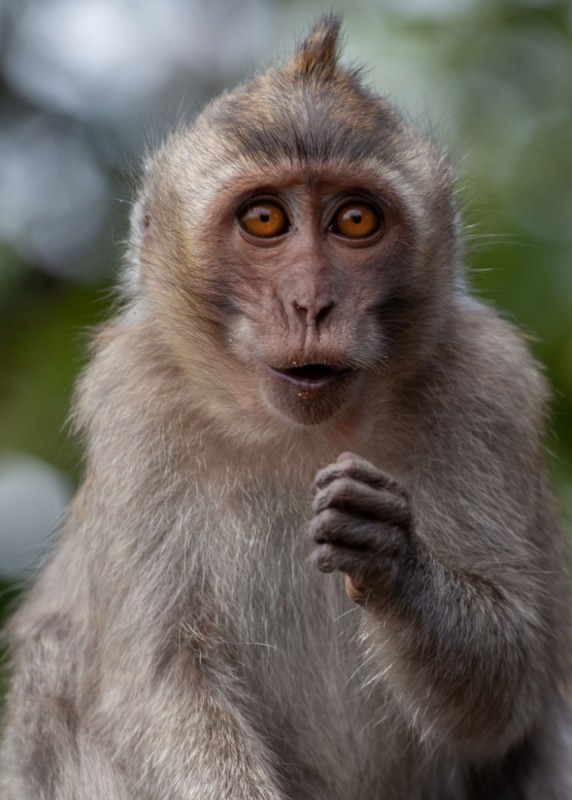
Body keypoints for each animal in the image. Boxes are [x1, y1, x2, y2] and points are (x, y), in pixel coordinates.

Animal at [1, 14, 572, 800]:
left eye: (355, 220)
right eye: (266, 219)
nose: (310, 303)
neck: (301, 433)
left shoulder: (491, 386)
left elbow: (511, 686)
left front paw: (396, 561)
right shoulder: (134, 400)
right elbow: (158, 681)